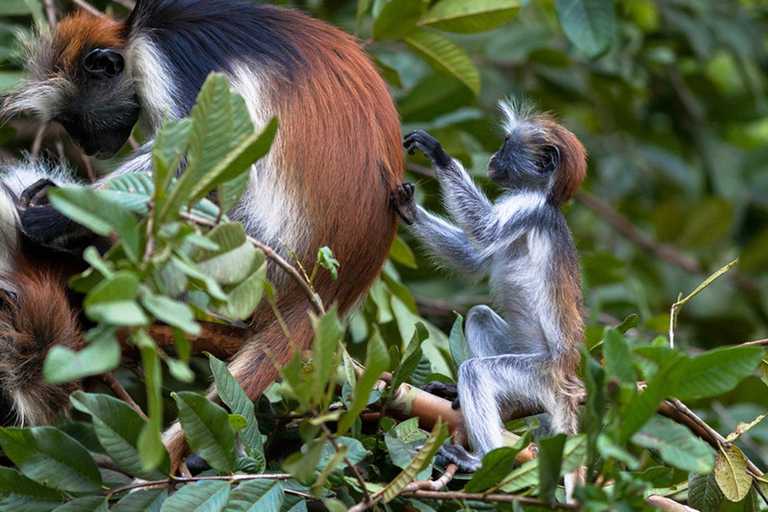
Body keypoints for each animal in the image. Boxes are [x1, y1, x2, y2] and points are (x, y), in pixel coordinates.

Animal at [1, 0, 402, 466]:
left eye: (75, 119)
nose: (88, 148)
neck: (136, 34)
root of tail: (327, 289)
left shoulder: (165, 63)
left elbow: (193, 163)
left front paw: (53, 213)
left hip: (253, 251)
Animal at [392, 102, 584, 474]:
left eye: (507, 144)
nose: (493, 157)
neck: (544, 196)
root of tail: (566, 374)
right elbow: (473, 260)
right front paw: (408, 209)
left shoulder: (527, 206)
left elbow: (483, 231)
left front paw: (438, 155)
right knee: (480, 316)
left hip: (538, 374)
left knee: (478, 371)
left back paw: (481, 459)